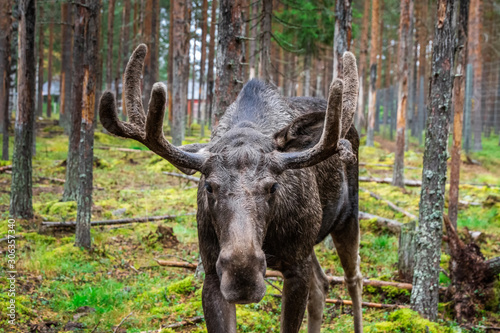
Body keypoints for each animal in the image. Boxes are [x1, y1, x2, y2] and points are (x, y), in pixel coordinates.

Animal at [98, 44, 364, 332]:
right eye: (209, 187)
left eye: (273, 186)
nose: (242, 276)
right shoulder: (212, 273)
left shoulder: (296, 266)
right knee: (321, 286)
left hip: (347, 219)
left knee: (353, 279)